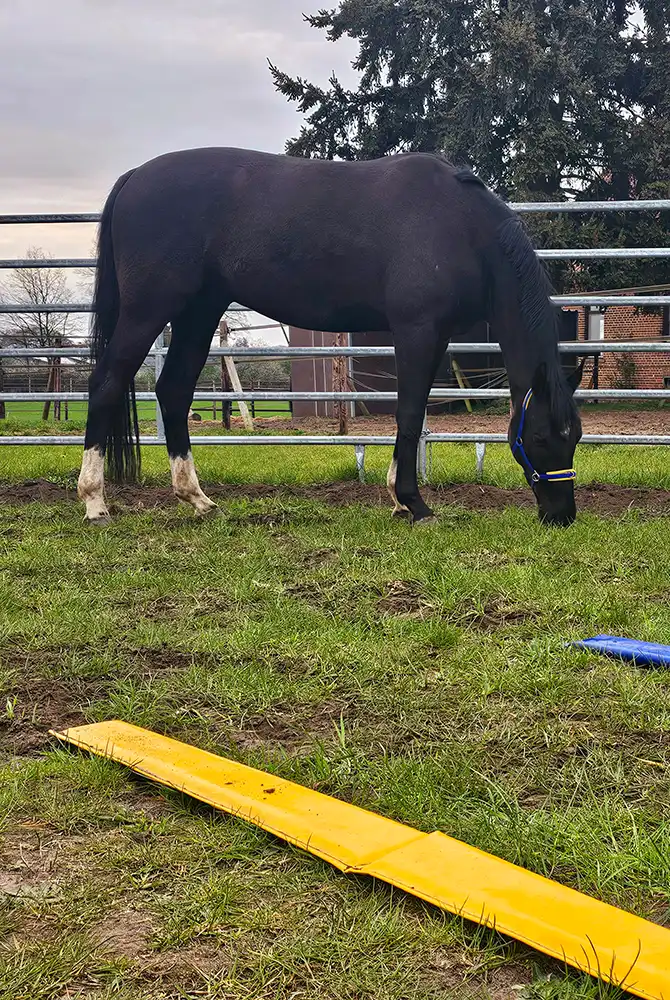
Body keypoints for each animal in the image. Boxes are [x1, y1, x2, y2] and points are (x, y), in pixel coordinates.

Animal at [77, 147, 583, 528]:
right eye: (540, 438)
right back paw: (95, 503)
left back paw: (198, 499)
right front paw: (413, 504)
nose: (561, 516)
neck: (458, 223)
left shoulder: (435, 337)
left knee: (174, 392)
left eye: (574, 436)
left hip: (199, 314)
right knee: (106, 384)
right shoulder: (416, 331)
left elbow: (413, 412)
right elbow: (409, 411)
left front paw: (401, 501)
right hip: (148, 311)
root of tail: (135, 176)